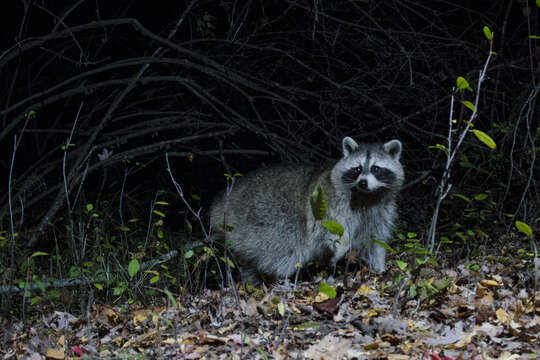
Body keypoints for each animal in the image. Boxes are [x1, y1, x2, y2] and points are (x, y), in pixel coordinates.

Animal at [209, 137, 402, 282]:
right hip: (260, 217)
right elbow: (331, 229)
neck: (366, 196)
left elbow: (376, 239)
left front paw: (378, 267)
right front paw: (342, 248)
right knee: (286, 248)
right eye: (357, 169)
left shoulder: (380, 210)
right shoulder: (331, 202)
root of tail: (222, 203)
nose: (363, 182)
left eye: (376, 168)